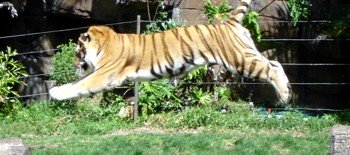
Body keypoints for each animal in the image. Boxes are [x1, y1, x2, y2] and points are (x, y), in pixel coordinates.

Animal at [47, 0, 292, 104]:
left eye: (78, 50)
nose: (73, 62)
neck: (105, 43)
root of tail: (228, 22)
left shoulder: (103, 75)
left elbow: (80, 85)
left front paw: (55, 94)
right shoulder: (99, 72)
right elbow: (76, 83)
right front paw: (56, 90)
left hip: (238, 58)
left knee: (271, 69)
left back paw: (285, 97)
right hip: (246, 52)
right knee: (277, 64)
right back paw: (287, 93)